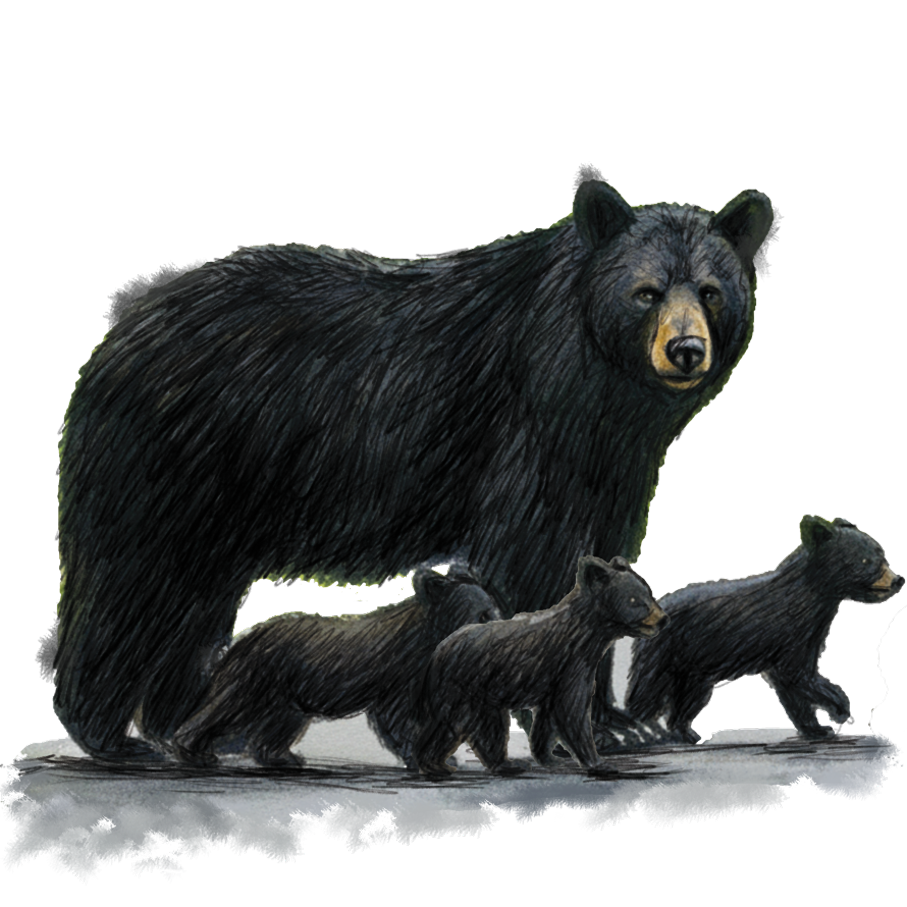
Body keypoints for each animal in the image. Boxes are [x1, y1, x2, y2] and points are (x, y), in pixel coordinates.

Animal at [169, 562, 502, 768]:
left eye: (493, 609)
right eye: (483, 613)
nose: (498, 629)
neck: (431, 636)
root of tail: (243, 637)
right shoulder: (401, 668)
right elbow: (397, 714)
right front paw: (422, 754)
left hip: (286, 693)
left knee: (279, 724)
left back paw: (283, 756)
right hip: (257, 675)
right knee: (228, 705)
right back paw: (193, 750)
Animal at [413, 555, 669, 776]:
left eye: (647, 593)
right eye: (635, 600)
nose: (662, 619)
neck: (586, 636)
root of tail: (440, 650)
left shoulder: (562, 674)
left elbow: (548, 717)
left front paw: (549, 757)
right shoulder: (571, 664)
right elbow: (573, 710)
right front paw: (600, 763)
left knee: (475, 726)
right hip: (464, 688)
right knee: (458, 724)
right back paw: (442, 765)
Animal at [624, 515, 906, 745]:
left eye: (880, 556)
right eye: (865, 560)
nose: (897, 580)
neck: (811, 601)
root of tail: (659, 607)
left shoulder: (806, 636)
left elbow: (792, 685)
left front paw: (816, 729)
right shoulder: (790, 632)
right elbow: (796, 675)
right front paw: (839, 708)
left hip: (693, 671)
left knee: (687, 701)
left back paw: (686, 735)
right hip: (663, 654)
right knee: (645, 694)